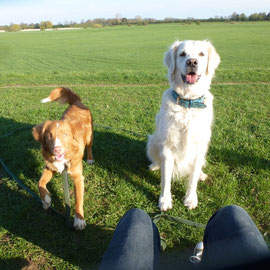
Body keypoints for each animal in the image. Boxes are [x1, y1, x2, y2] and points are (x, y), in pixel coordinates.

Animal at [33, 88, 93, 230]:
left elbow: (78, 199)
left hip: (89, 136)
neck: (64, 160)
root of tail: (77, 102)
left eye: (65, 134)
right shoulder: (50, 167)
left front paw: (79, 219)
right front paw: (46, 200)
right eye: (49, 135)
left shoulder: (78, 176)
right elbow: (40, 183)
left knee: (89, 147)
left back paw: (90, 159)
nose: (57, 149)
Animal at [147, 40, 220, 211]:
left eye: (201, 54)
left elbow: (192, 178)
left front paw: (190, 198)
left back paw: (201, 174)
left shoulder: (199, 146)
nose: (192, 62)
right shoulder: (168, 146)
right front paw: (165, 200)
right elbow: (166, 178)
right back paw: (154, 166)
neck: (189, 102)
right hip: (152, 140)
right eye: (182, 54)